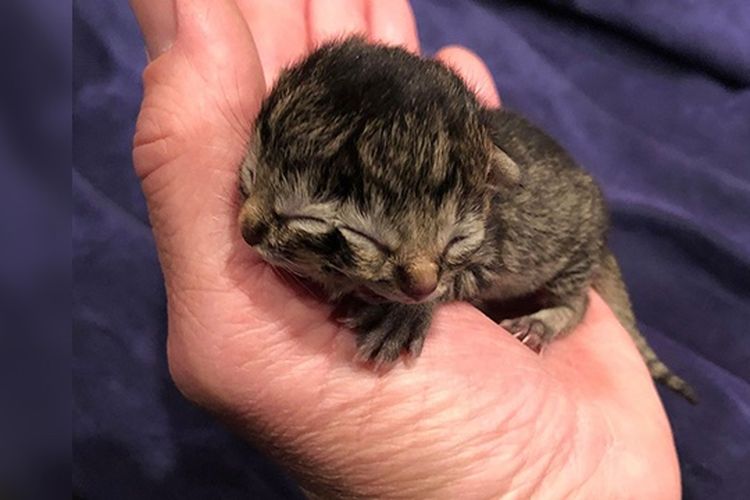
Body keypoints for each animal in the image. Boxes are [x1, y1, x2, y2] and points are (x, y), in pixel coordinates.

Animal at [239, 38, 700, 402]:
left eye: (455, 240)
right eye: (249, 177)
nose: (246, 230)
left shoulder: (488, 255)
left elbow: (457, 281)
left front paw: (404, 314)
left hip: (575, 254)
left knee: (579, 302)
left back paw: (545, 319)